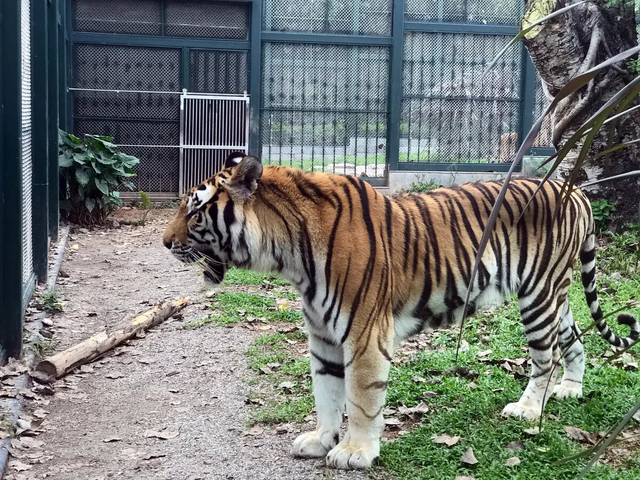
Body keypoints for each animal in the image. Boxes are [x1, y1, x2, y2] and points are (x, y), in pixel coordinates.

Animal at [162, 153, 636, 468]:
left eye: (195, 210)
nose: (165, 243)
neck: (288, 254)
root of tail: (577, 192)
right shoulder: (322, 338)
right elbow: (326, 394)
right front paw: (320, 440)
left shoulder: (364, 333)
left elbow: (361, 397)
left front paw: (354, 452)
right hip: (553, 293)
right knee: (573, 340)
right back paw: (571, 389)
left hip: (538, 295)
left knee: (545, 355)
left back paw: (528, 410)